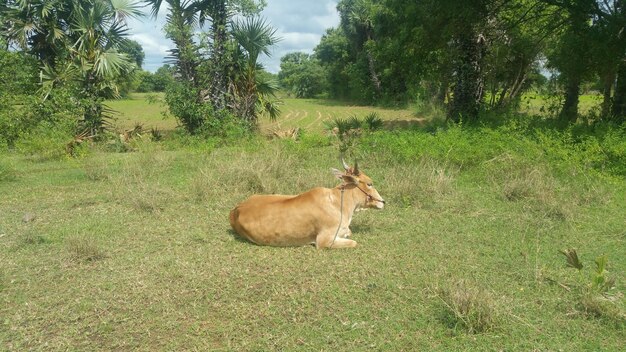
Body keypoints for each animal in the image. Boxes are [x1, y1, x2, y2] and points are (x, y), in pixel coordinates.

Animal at [229, 161, 386, 249]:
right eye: (370, 183)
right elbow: (353, 242)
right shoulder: (324, 240)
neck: (337, 202)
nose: (383, 202)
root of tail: (237, 209)